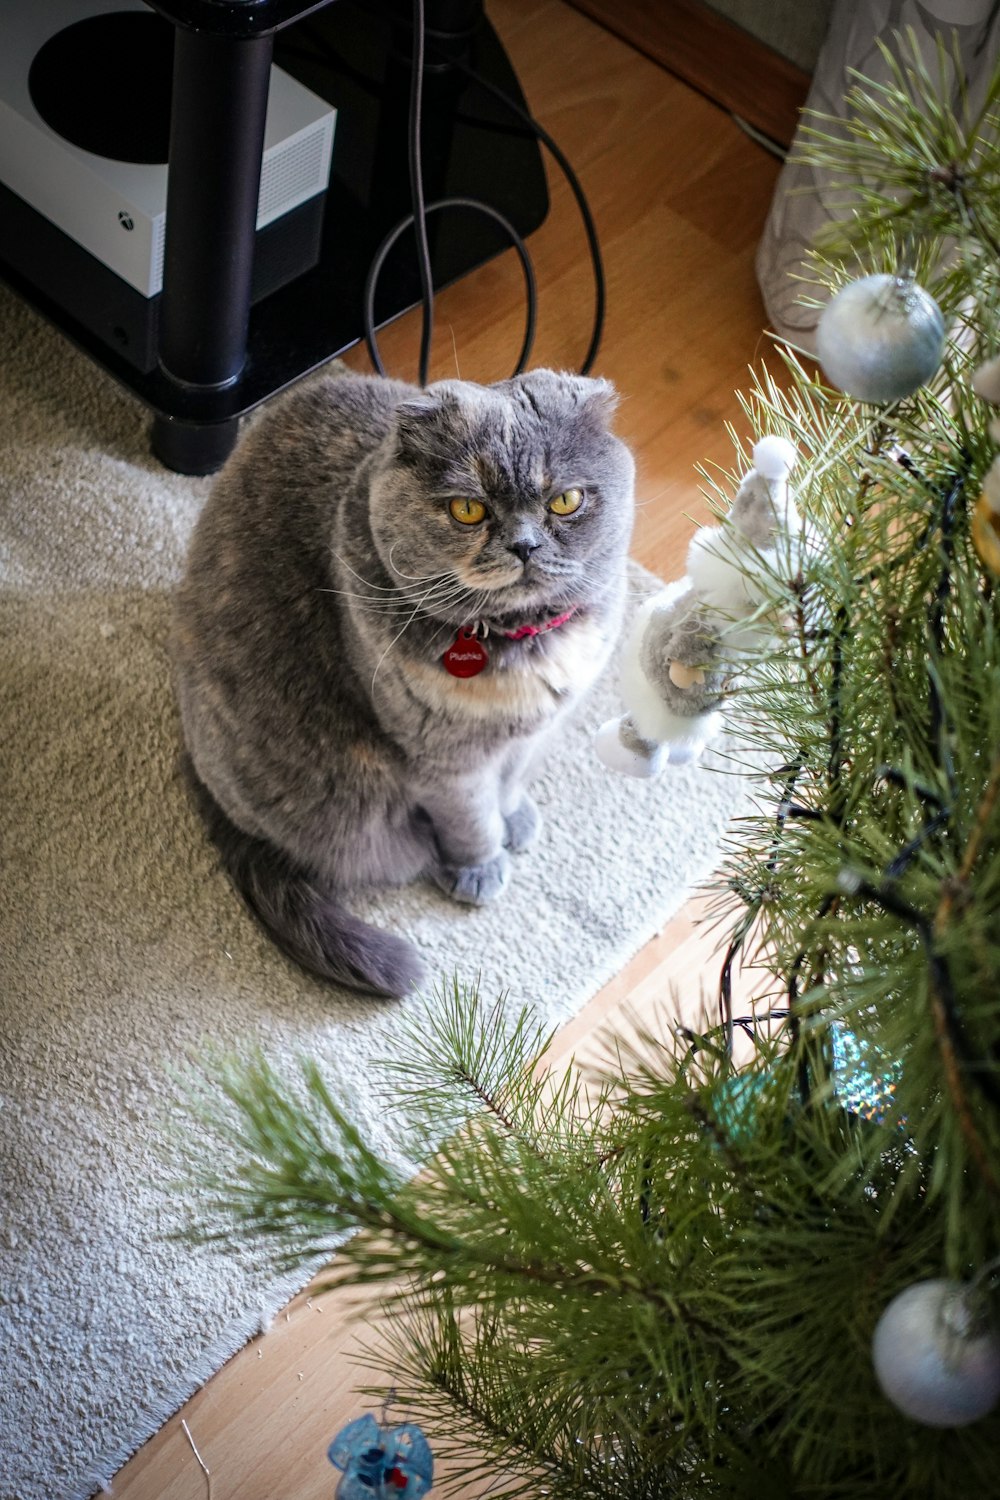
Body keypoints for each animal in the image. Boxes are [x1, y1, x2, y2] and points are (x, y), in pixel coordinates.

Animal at [170, 364, 632, 996]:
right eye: (467, 510)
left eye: (566, 500)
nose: (525, 545)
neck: (520, 640)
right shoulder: (442, 760)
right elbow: (470, 818)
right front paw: (481, 864)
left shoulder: (543, 726)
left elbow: (512, 780)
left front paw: (515, 817)